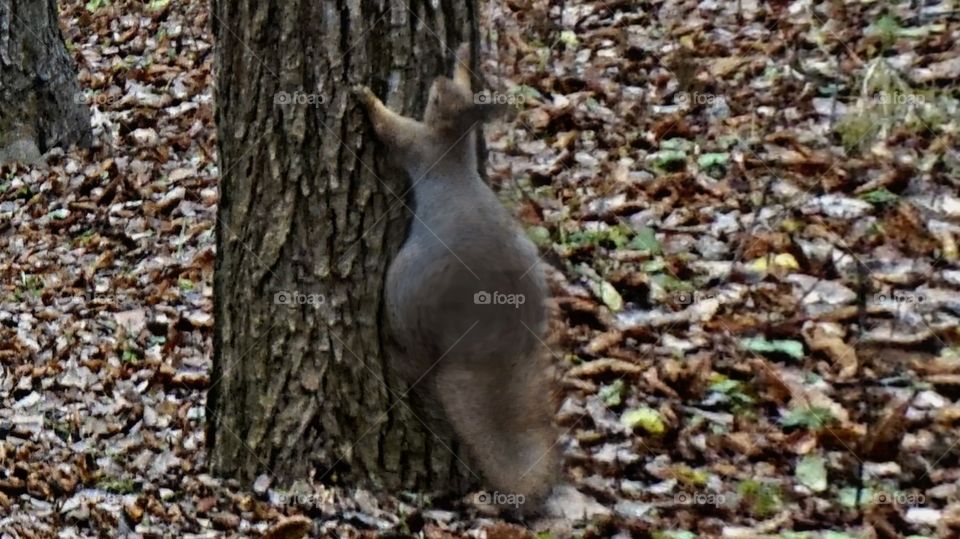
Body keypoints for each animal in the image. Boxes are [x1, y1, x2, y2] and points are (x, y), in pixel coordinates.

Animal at [354, 44, 560, 512]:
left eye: (435, 100)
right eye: (443, 90)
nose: (434, 80)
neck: (453, 147)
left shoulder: (416, 144)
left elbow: (389, 128)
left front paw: (366, 97)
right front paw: (464, 59)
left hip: (404, 291)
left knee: (413, 360)